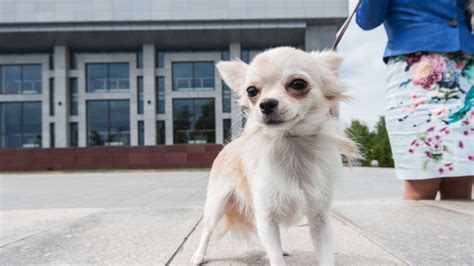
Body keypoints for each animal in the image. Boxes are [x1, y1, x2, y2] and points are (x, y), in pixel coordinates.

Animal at [191, 46, 358, 264]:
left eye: (298, 84)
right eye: (251, 91)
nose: (266, 104)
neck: (291, 143)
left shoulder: (320, 217)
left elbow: (326, 257)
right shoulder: (266, 215)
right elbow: (276, 259)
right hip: (217, 203)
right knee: (207, 230)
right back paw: (199, 254)